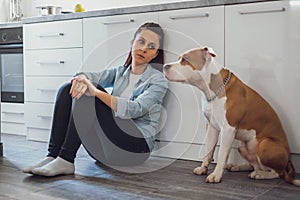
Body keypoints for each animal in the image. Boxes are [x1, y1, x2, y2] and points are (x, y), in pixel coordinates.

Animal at [164, 47, 300, 186]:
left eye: (185, 59)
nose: (165, 66)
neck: (211, 89)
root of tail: (289, 158)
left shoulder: (228, 129)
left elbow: (222, 154)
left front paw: (216, 175)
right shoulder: (212, 127)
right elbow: (209, 150)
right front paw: (203, 168)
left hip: (265, 144)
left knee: (278, 173)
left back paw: (260, 175)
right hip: (242, 147)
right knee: (255, 165)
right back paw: (238, 167)